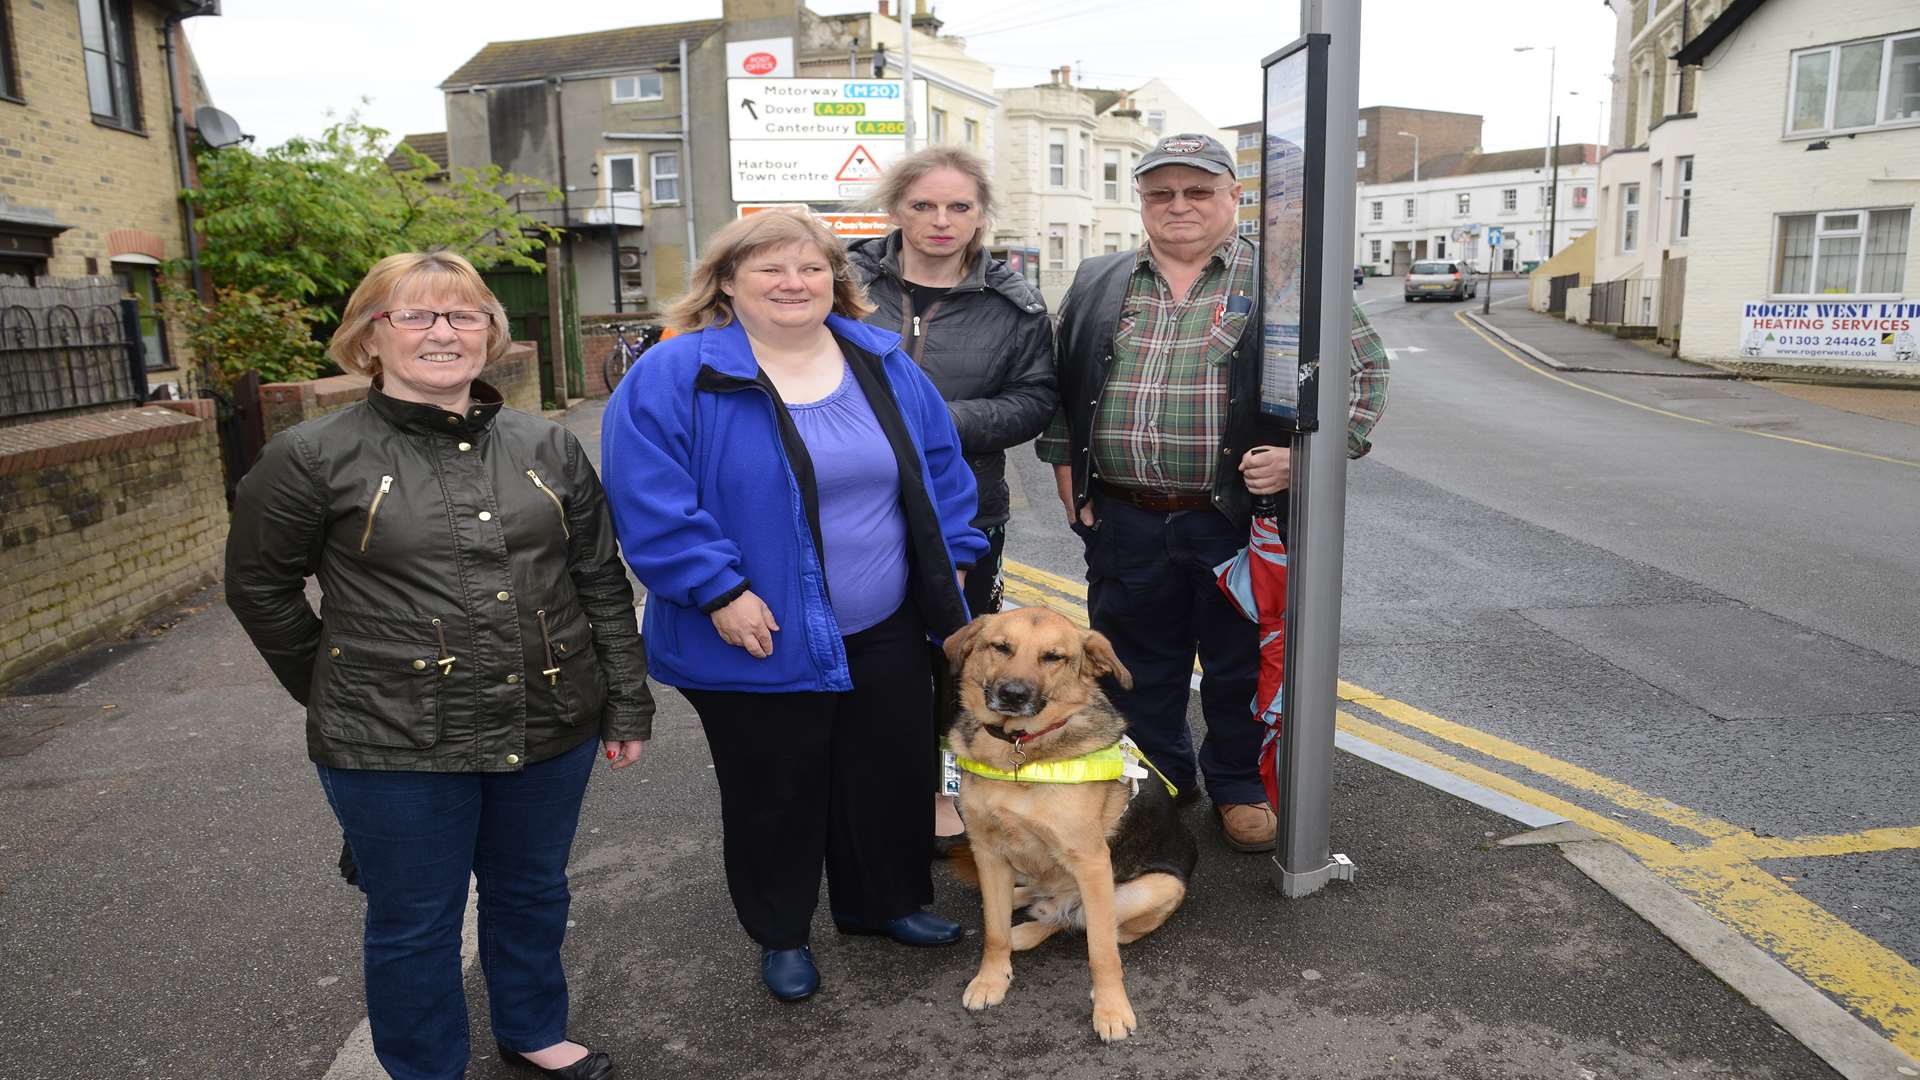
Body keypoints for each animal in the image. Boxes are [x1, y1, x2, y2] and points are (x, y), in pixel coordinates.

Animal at [940, 607, 1190, 1037]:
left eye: (1053, 657)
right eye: (1000, 647)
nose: (1013, 694)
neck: (1019, 749)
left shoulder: (1091, 863)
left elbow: (1102, 951)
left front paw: (1111, 1010)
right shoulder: (987, 850)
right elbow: (993, 932)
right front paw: (991, 979)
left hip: (1157, 887)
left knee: (1078, 919)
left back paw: (1029, 928)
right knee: (1041, 902)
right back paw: (1019, 904)